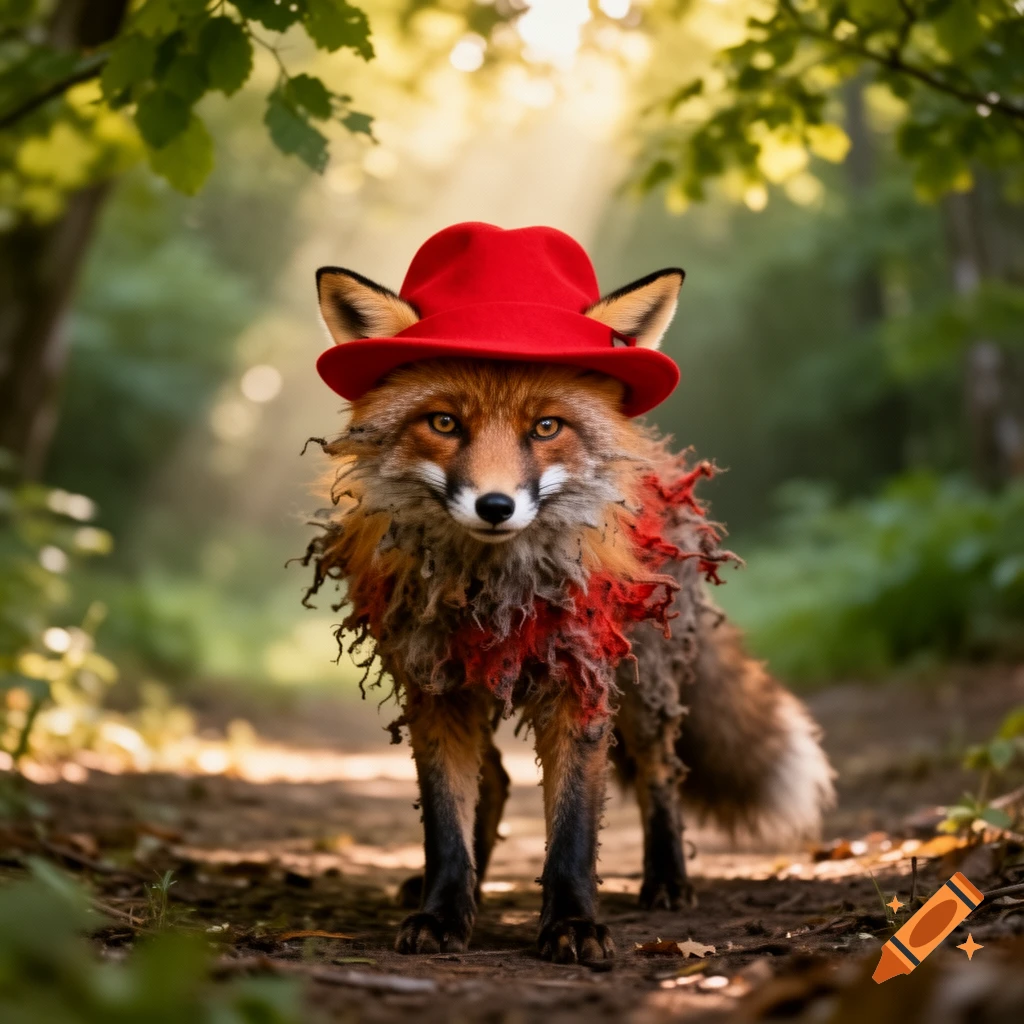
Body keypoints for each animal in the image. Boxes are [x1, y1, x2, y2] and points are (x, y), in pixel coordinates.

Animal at [301, 224, 835, 964]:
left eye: (546, 428)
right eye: (444, 423)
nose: (495, 506)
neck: (495, 591)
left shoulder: (580, 683)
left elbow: (573, 829)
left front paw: (573, 924)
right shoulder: (435, 688)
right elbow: (444, 823)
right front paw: (444, 911)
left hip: (646, 688)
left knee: (662, 775)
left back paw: (667, 881)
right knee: (494, 782)